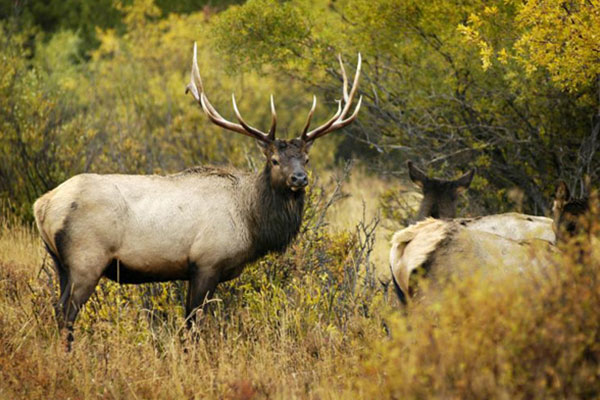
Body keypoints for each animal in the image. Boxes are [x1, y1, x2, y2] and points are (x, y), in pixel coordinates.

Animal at [35, 42, 364, 346]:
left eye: (306, 159)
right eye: (274, 160)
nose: (299, 178)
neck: (251, 222)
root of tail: (42, 205)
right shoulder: (206, 262)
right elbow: (192, 324)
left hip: (59, 261)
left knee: (57, 309)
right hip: (86, 258)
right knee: (66, 312)